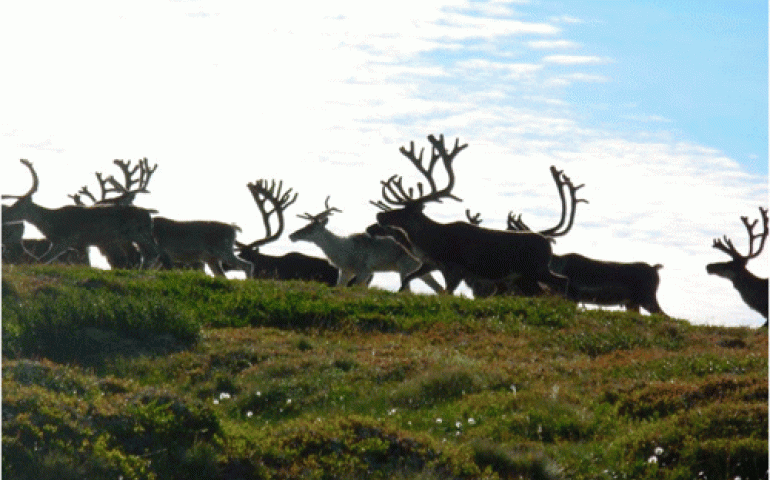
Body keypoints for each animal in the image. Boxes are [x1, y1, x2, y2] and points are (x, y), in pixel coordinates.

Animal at [2, 159, 159, 267]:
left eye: (16, 206)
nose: (4, 215)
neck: (51, 223)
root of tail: (149, 216)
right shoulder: (78, 245)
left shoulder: (65, 240)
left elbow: (42, 260)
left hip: (138, 234)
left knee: (152, 254)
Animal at [288, 196, 444, 292]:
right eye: (306, 225)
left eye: (310, 228)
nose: (292, 235)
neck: (342, 252)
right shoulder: (345, 271)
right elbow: (339, 287)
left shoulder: (365, 270)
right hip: (419, 270)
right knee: (439, 289)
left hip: (404, 266)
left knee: (409, 291)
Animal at [371, 134, 568, 296]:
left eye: (404, 211)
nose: (380, 215)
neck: (431, 241)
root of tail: (548, 243)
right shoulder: (430, 263)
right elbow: (407, 279)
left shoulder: (455, 268)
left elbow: (446, 292)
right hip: (525, 276)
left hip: (535, 269)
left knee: (560, 282)